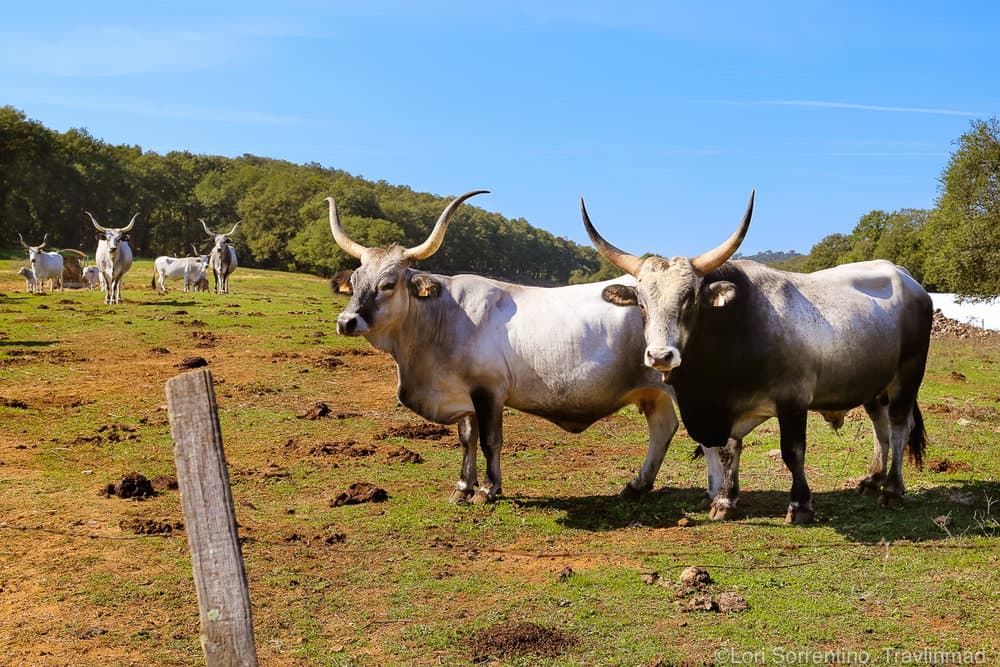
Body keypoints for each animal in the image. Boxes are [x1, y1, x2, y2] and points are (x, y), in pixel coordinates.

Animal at [328, 190, 690, 504]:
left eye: (388, 284)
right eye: (355, 281)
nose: (346, 322)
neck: (443, 317)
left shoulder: (489, 392)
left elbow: (491, 440)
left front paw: (488, 489)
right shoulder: (464, 395)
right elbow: (467, 438)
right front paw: (463, 488)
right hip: (654, 390)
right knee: (662, 428)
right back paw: (637, 486)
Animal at [580, 191, 933, 523]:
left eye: (690, 299)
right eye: (641, 303)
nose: (660, 355)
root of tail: (905, 276)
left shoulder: (793, 400)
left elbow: (793, 452)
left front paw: (800, 505)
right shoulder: (726, 407)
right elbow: (728, 450)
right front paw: (725, 501)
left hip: (908, 374)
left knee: (899, 426)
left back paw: (892, 490)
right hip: (874, 384)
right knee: (880, 427)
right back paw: (873, 479)